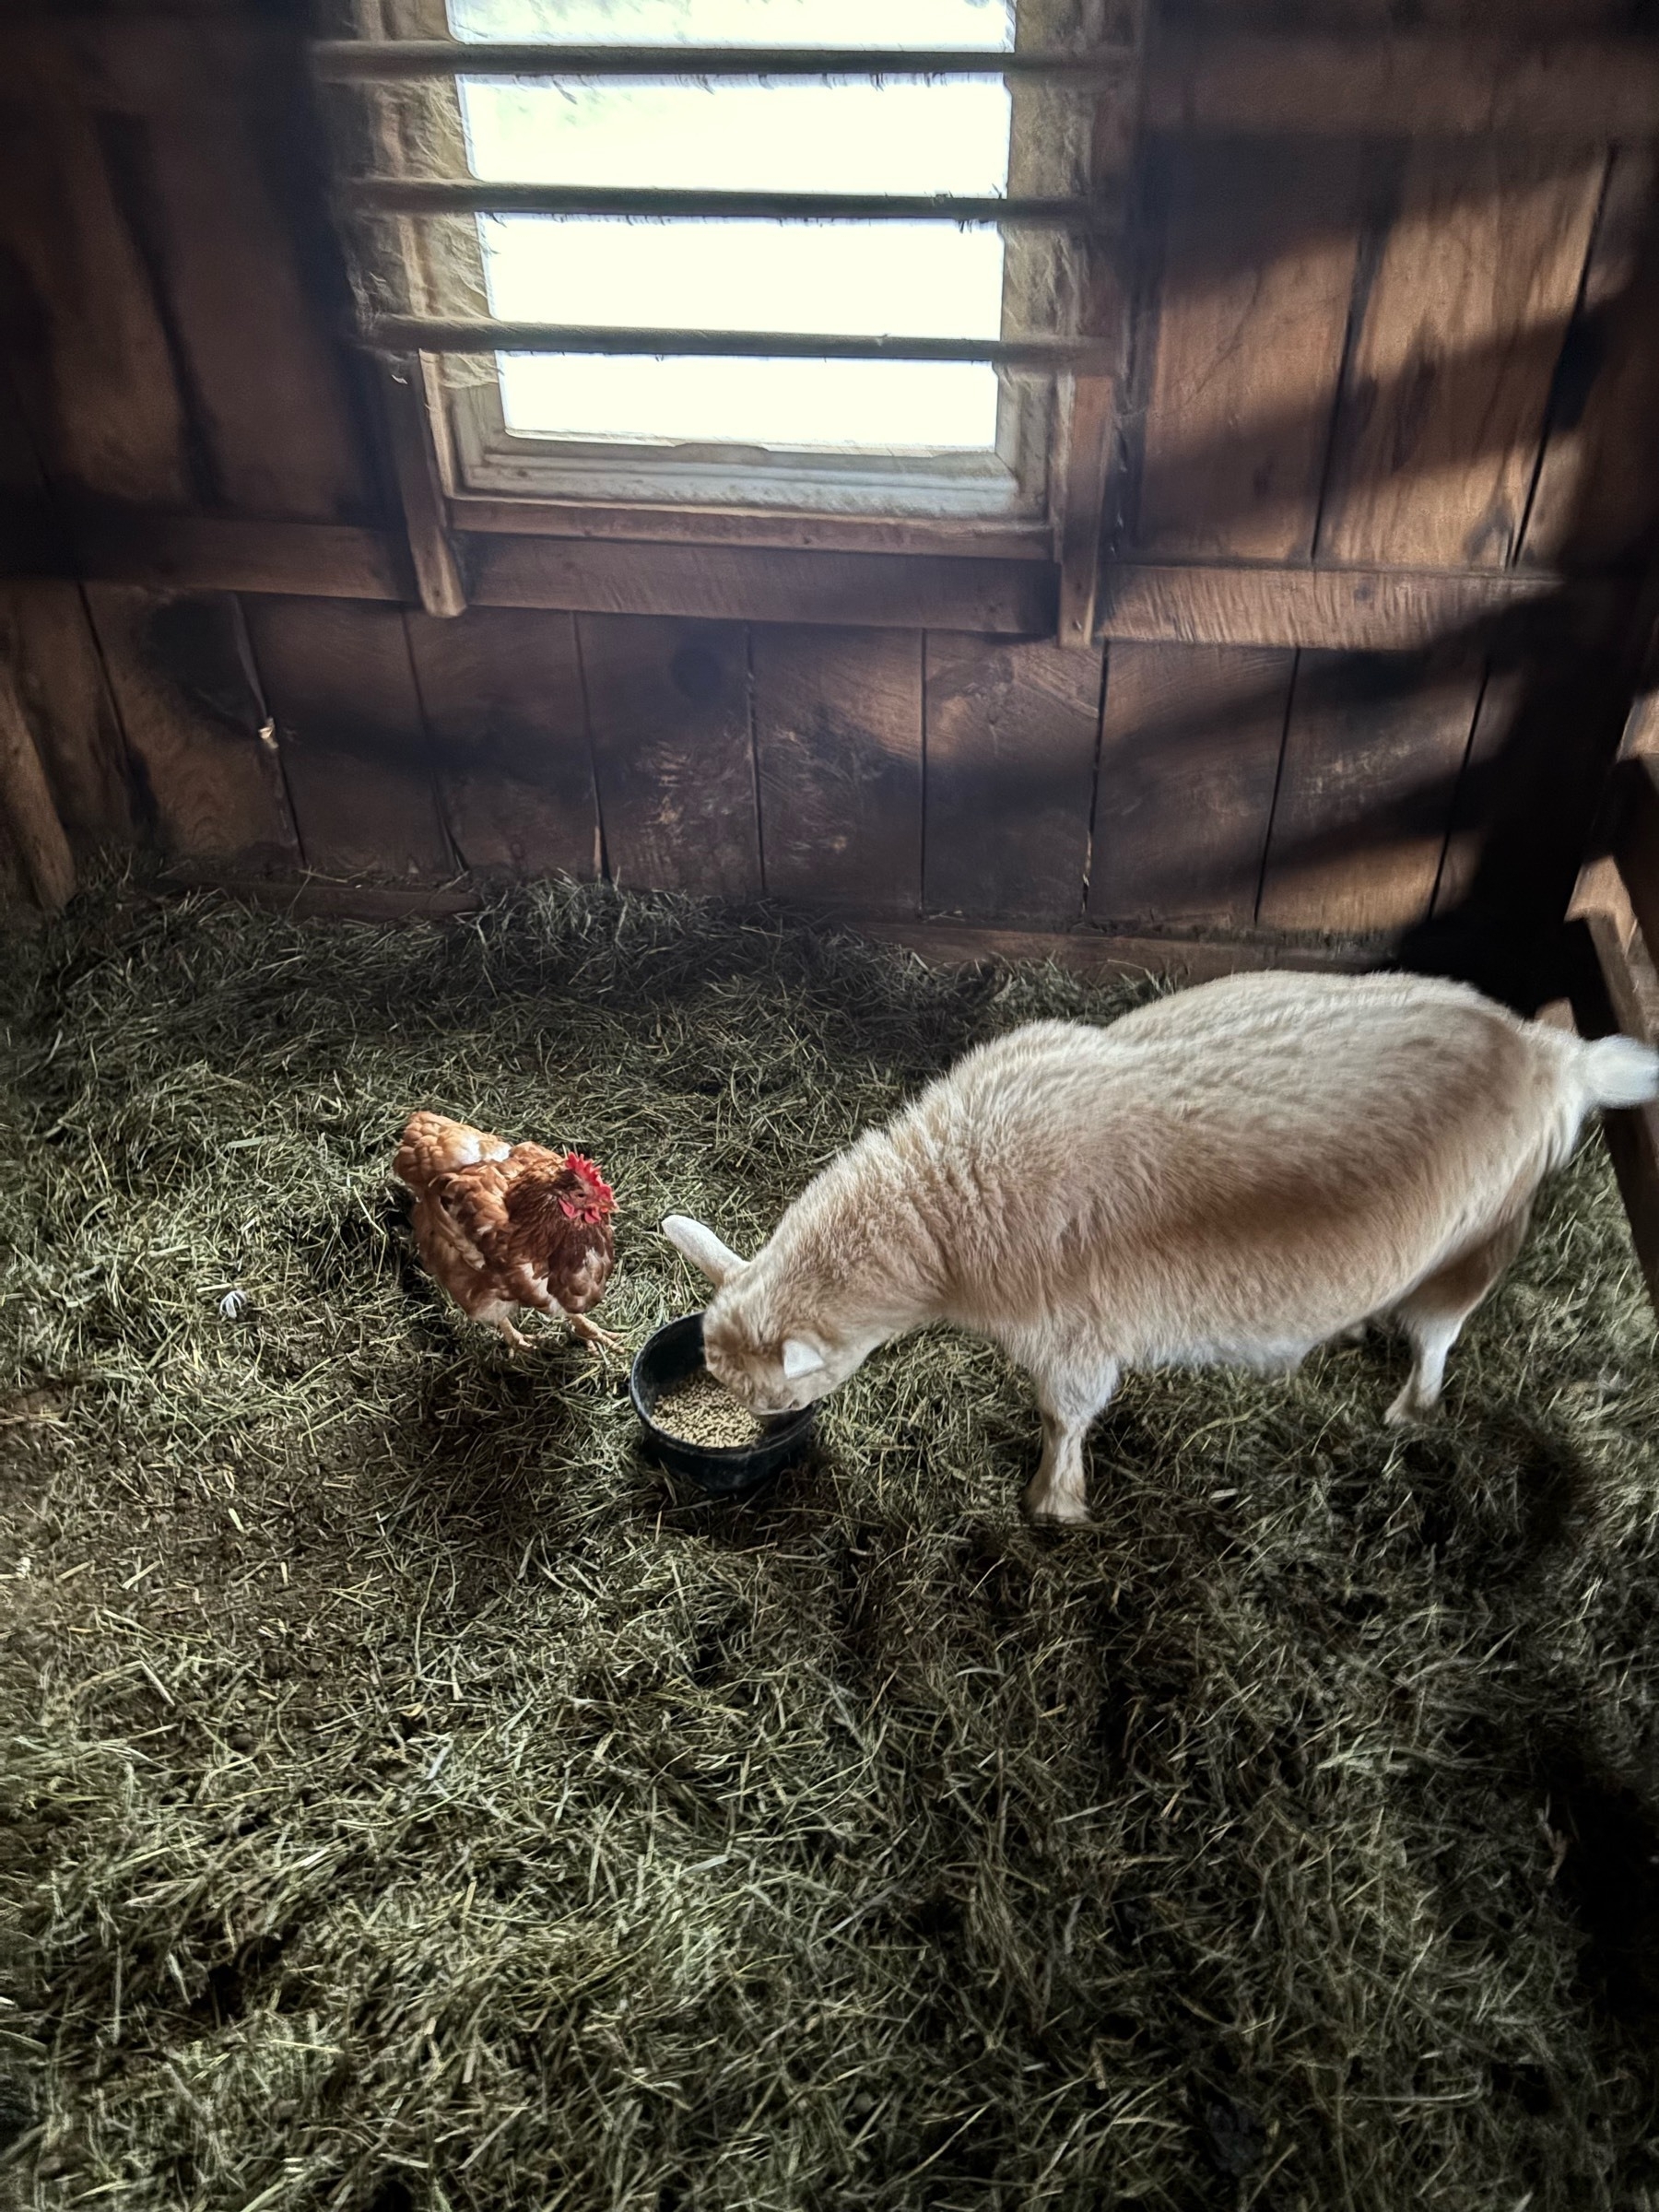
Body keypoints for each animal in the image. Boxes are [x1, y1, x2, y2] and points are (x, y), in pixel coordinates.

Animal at [667, 973, 1659, 1522]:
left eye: (777, 1396)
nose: (754, 1435)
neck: (949, 1191)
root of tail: (1554, 1053)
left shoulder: (1077, 1337)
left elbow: (1065, 1416)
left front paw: (1054, 1503)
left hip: (1482, 1234)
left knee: (1442, 1332)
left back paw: (1412, 1406)